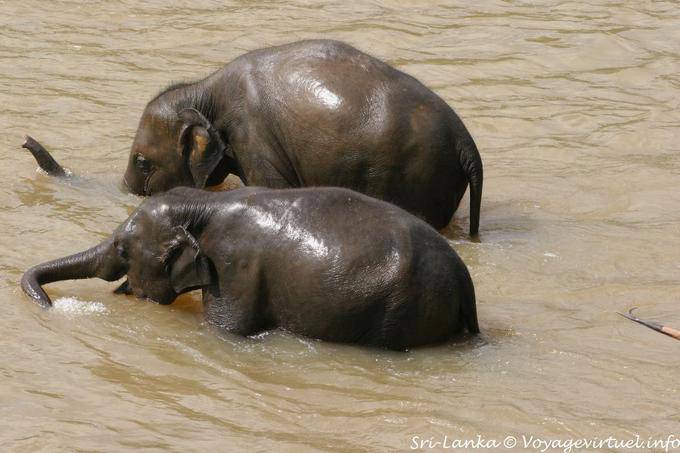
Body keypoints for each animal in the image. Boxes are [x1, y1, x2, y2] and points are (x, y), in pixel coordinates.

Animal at [21, 186, 480, 350]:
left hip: (400, 309)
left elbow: (227, 329)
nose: (49, 305)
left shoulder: (235, 271)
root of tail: (464, 279)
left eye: (121, 247)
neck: (204, 204)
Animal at [122, 39, 483, 235]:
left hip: (417, 173)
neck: (204, 91)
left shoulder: (253, 137)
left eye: (141, 161)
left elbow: (270, 188)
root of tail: (466, 143)